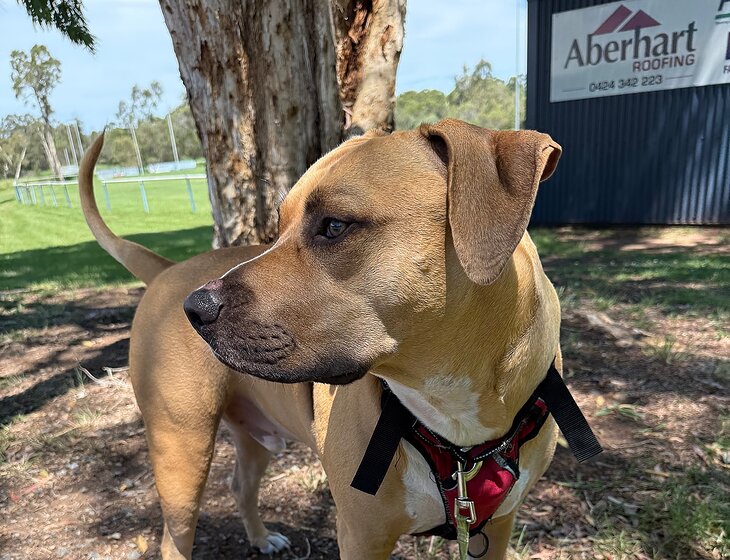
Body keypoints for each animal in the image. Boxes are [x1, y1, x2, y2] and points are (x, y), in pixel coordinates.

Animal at [79, 119, 564, 559]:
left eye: (333, 226)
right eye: (277, 230)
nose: (196, 308)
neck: (452, 422)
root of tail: (167, 272)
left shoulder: (497, 527)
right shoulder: (361, 536)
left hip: (251, 433)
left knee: (240, 485)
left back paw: (261, 538)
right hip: (181, 450)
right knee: (174, 535)